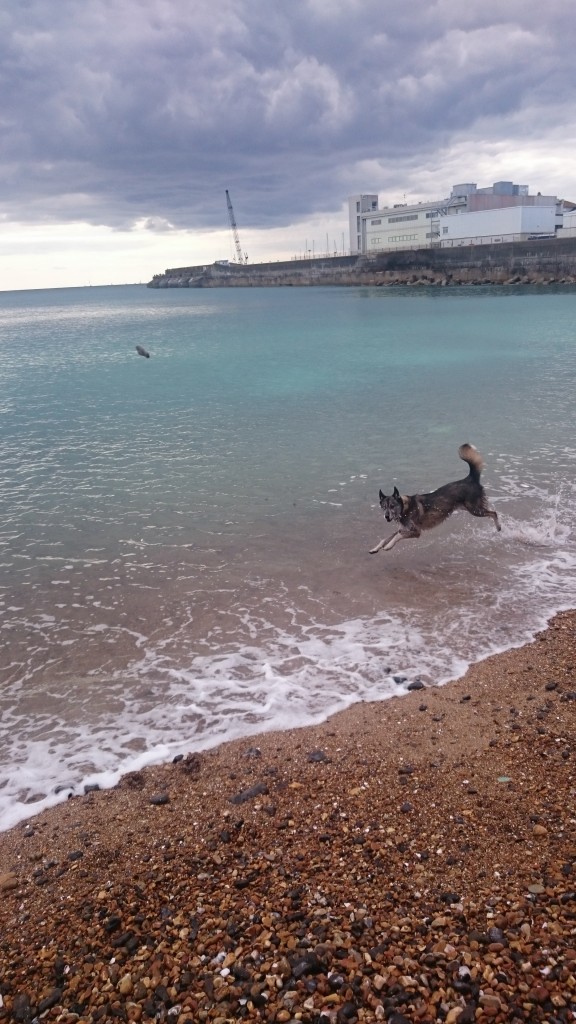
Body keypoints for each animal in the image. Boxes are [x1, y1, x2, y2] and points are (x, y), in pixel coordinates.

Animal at [366, 440, 498, 552]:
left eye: (392, 506)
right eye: (383, 507)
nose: (386, 517)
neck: (404, 508)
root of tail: (470, 479)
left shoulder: (416, 532)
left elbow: (397, 536)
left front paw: (388, 546)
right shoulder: (403, 528)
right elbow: (385, 538)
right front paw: (375, 548)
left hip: (475, 510)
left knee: (494, 513)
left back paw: (498, 528)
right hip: (471, 509)